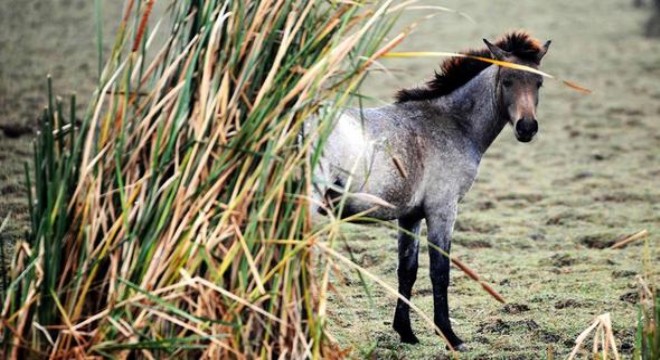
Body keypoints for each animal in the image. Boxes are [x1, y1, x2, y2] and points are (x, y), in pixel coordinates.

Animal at [312, 31, 548, 352]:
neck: (451, 122)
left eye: (538, 82)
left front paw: (406, 333)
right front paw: (450, 336)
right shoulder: (442, 211)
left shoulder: (410, 216)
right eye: (508, 80)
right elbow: (439, 272)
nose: (526, 128)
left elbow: (407, 271)